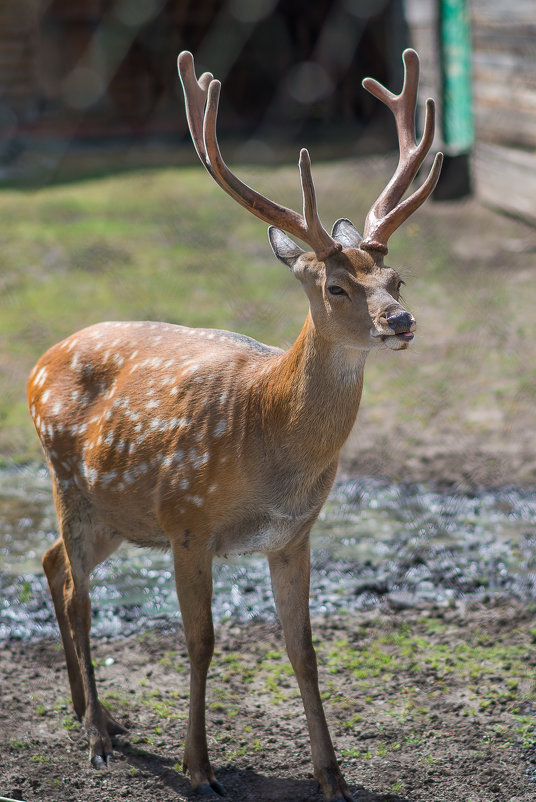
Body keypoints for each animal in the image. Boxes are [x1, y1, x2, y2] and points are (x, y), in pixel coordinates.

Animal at [27, 48, 442, 800]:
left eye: (397, 279)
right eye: (337, 286)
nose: (401, 322)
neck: (265, 431)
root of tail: (38, 361)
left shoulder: (293, 535)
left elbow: (303, 649)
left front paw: (332, 776)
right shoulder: (188, 523)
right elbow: (201, 641)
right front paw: (199, 768)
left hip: (116, 513)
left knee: (51, 564)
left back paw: (89, 713)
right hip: (67, 479)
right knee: (77, 594)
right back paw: (98, 734)